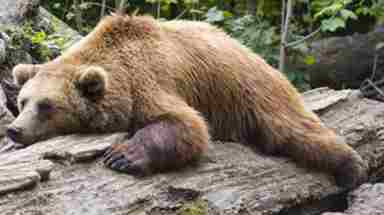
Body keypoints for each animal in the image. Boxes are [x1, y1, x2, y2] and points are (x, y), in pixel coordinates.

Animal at [8, 14, 366, 187]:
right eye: (23, 102)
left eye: (47, 105)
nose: (15, 130)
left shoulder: (150, 81)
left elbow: (186, 124)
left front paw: (122, 156)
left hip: (253, 92)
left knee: (295, 130)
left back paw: (352, 167)